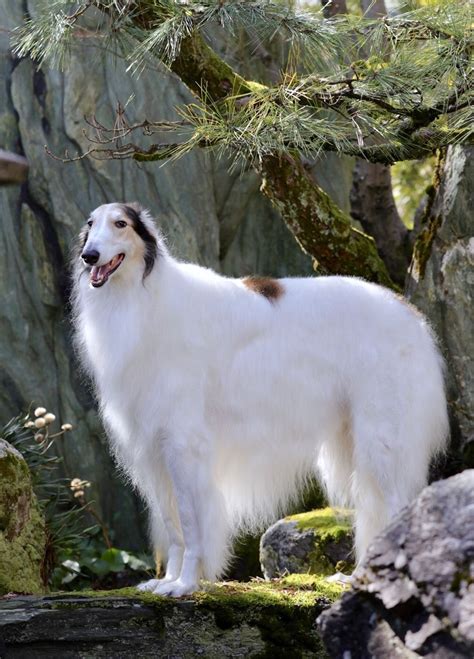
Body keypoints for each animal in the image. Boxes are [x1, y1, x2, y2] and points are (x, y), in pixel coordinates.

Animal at [72, 202, 450, 600]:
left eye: (120, 224)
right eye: (90, 225)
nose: (88, 256)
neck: (144, 299)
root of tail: (408, 311)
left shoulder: (184, 444)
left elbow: (190, 524)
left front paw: (186, 584)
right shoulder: (153, 450)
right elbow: (173, 527)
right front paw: (166, 581)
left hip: (383, 440)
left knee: (393, 509)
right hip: (355, 441)